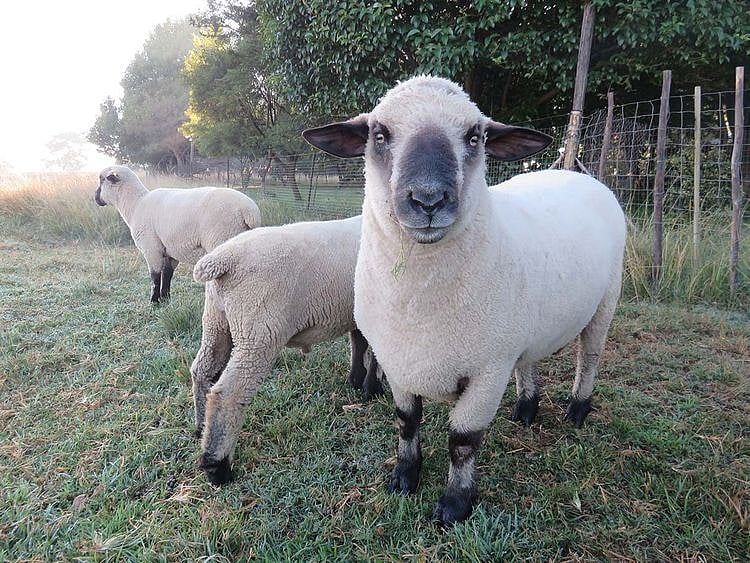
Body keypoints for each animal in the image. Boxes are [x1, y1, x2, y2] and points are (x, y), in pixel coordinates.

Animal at [94, 165, 261, 303]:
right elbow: (167, 275)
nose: (95, 198)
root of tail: (249, 211)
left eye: (102, 180)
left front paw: (154, 302)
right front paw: (165, 299)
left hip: (222, 239)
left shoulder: (151, 248)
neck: (135, 204)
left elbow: (155, 277)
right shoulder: (169, 251)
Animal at [190, 215, 384, 485]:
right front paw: (372, 389)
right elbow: (373, 351)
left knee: (202, 371)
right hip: (258, 334)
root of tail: (223, 259)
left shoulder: (357, 312)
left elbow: (359, 342)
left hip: (216, 322)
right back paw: (217, 467)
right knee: (228, 394)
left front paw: (357, 380)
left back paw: (201, 428)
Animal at [303, 76, 626, 525]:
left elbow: (463, 441)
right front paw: (404, 477)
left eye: (475, 136)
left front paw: (455, 504)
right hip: (523, 327)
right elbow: (407, 422)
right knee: (530, 360)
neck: (419, 306)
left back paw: (578, 410)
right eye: (379, 135)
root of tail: (581, 176)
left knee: (590, 357)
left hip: (605, 302)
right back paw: (526, 409)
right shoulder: (399, 360)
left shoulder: (487, 372)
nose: (428, 200)